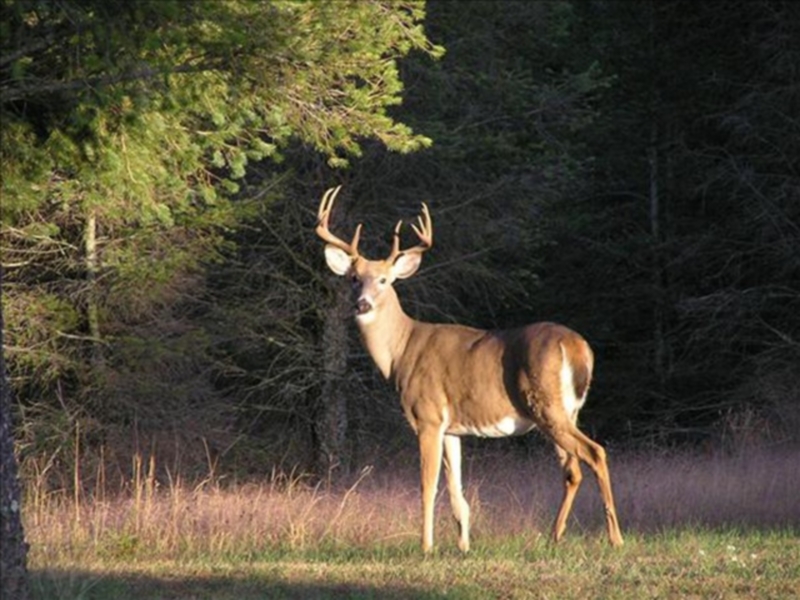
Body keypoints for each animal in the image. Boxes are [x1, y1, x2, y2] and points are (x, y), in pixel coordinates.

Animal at [315, 185, 623, 553]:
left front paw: (427, 547)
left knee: (595, 452)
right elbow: (456, 491)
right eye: (353, 279)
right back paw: (554, 536)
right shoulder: (453, 428)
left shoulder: (428, 416)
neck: (401, 351)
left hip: (547, 405)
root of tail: (577, 347)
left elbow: (428, 486)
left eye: (384, 280)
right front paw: (463, 546)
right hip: (567, 410)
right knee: (572, 469)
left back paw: (615, 537)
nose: (363, 304)